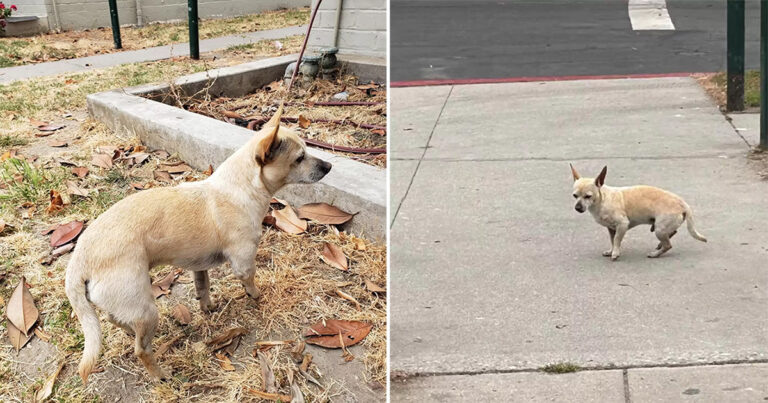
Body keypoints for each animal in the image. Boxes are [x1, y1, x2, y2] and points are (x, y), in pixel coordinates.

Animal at [63, 103, 330, 382]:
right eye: (300, 158)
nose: (329, 166)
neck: (241, 187)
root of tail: (78, 262)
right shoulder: (244, 260)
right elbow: (250, 280)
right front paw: (256, 296)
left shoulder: (199, 267)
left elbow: (203, 288)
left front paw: (208, 307)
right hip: (145, 309)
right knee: (141, 349)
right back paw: (160, 374)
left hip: (127, 306)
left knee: (116, 320)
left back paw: (128, 331)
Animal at [568, 165, 708, 262]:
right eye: (575, 196)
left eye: (588, 196)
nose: (577, 207)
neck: (602, 200)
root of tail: (682, 203)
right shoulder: (611, 228)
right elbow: (612, 240)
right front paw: (611, 250)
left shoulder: (622, 225)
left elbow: (617, 239)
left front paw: (615, 253)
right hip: (661, 228)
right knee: (673, 232)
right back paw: (659, 245)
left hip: (659, 229)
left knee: (668, 245)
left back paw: (655, 254)